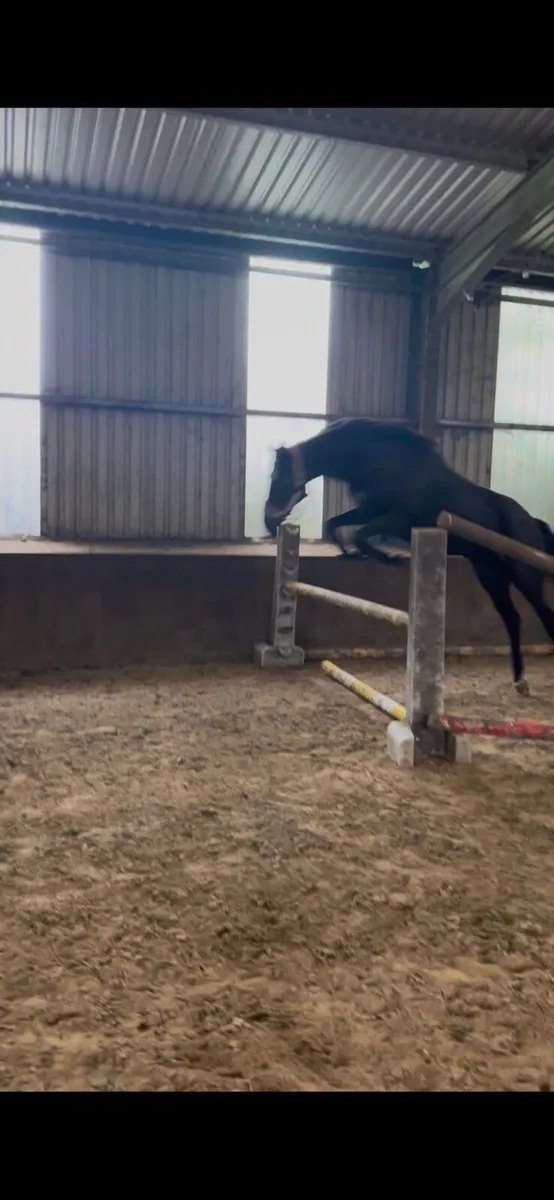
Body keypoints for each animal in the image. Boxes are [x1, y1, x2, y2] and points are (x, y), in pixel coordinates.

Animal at [263, 419, 554, 696]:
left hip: (524, 574)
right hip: (491, 574)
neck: (376, 460)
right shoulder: (370, 508)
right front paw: (352, 554)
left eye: (278, 478)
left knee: (543, 613)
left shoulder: (399, 518)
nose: (268, 522)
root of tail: (532, 521)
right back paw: (519, 680)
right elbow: (335, 523)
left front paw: (385, 557)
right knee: (512, 618)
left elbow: (360, 533)